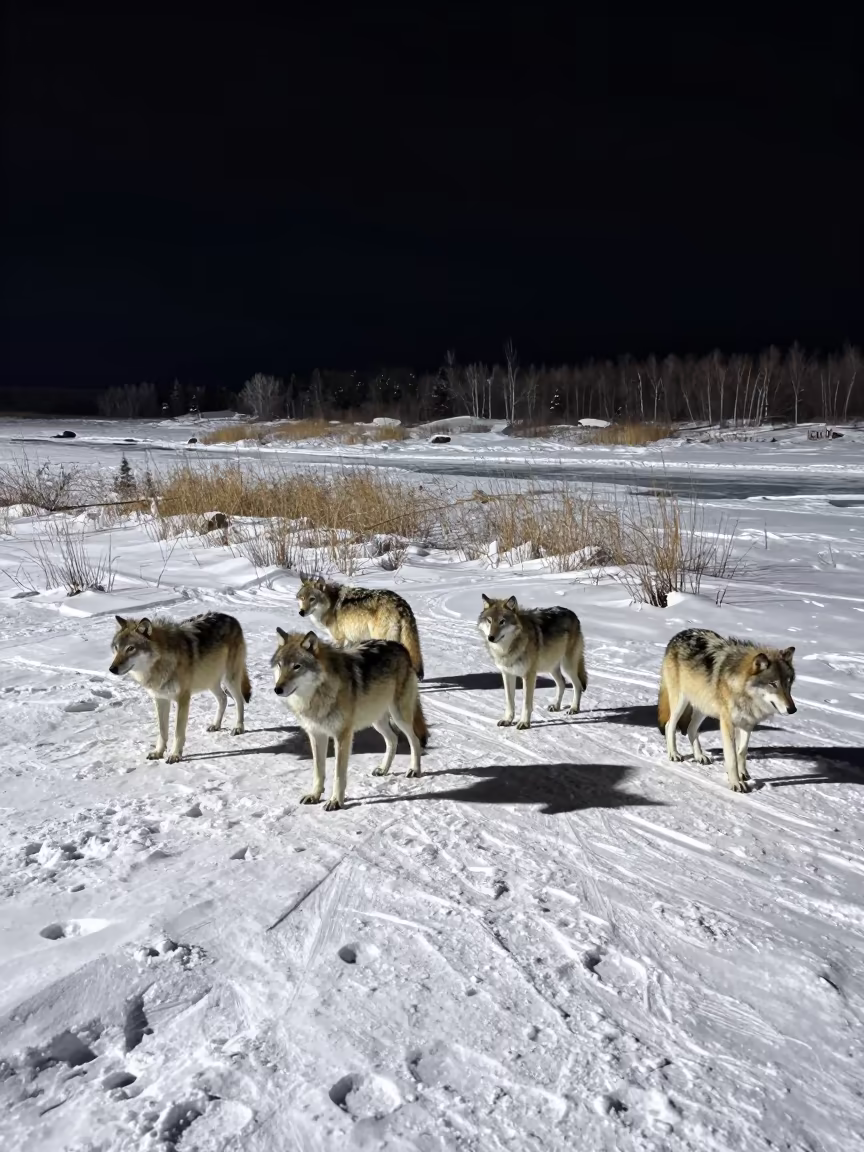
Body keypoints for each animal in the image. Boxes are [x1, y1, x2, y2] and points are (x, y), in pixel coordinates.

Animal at [109, 612, 251, 763]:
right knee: (223, 698)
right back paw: (215, 725)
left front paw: (175, 754)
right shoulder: (160, 699)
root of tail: (232, 618)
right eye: (116, 648)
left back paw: (238, 727)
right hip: (210, 681)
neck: (161, 663)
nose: (112, 669)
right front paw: (158, 752)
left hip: (229, 679)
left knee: (239, 701)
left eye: (131, 648)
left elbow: (178, 732)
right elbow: (162, 731)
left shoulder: (182, 698)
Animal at [272, 629, 427, 811]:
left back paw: (414, 770)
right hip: (377, 720)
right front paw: (314, 795)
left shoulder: (342, 735)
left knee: (414, 740)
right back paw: (383, 769)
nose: (277, 689)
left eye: (297, 666)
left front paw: (335, 801)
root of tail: (400, 646)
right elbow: (318, 770)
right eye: (280, 665)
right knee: (393, 739)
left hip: (399, 716)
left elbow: (339, 774)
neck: (317, 695)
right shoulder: (316, 734)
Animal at [477, 594, 587, 729]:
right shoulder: (507, 674)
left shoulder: (529, 675)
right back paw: (556, 706)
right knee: (562, 682)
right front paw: (507, 720)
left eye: (502, 621)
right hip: (551, 667)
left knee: (578, 685)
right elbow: (509, 701)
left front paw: (524, 723)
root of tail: (573, 614)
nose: (491, 638)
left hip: (568, 667)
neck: (508, 648)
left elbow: (526, 703)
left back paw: (574, 708)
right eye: (489, 621)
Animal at [658, 628, 796, 792]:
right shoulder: (727, 723)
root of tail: (678, 635)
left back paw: (699, 756)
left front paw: (743, 774)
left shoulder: (747, 724)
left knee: (691, 729)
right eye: (773, 684)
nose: (793, 709)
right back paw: (674, 754)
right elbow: (732, 757)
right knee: (670, 725)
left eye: (788, 683)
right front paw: (736, 783)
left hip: (703, 706)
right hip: (681, 702)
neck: (742, 689)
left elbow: (742, 752)